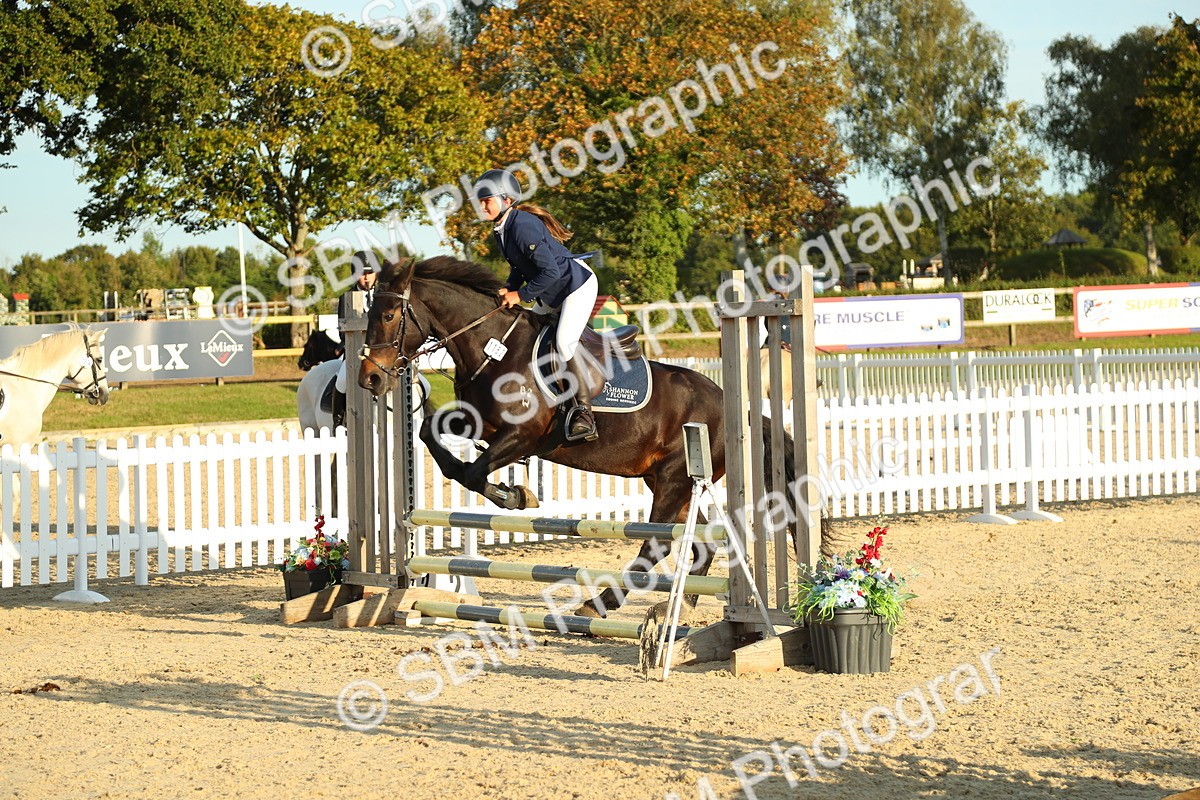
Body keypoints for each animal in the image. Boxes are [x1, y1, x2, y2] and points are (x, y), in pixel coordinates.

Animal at [358, 256, 817, 618]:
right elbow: (433, 439)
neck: (494, 350)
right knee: (699, 544)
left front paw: (515, 496)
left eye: (389, 316)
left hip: (673, 481)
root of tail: (734, 404)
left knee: (655, 546)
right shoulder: (478, 423)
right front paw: (511, 491)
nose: (370, 379)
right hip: (671, 482)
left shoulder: (522, 435)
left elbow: (473, 474)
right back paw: (680, 606)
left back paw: (600, 605)